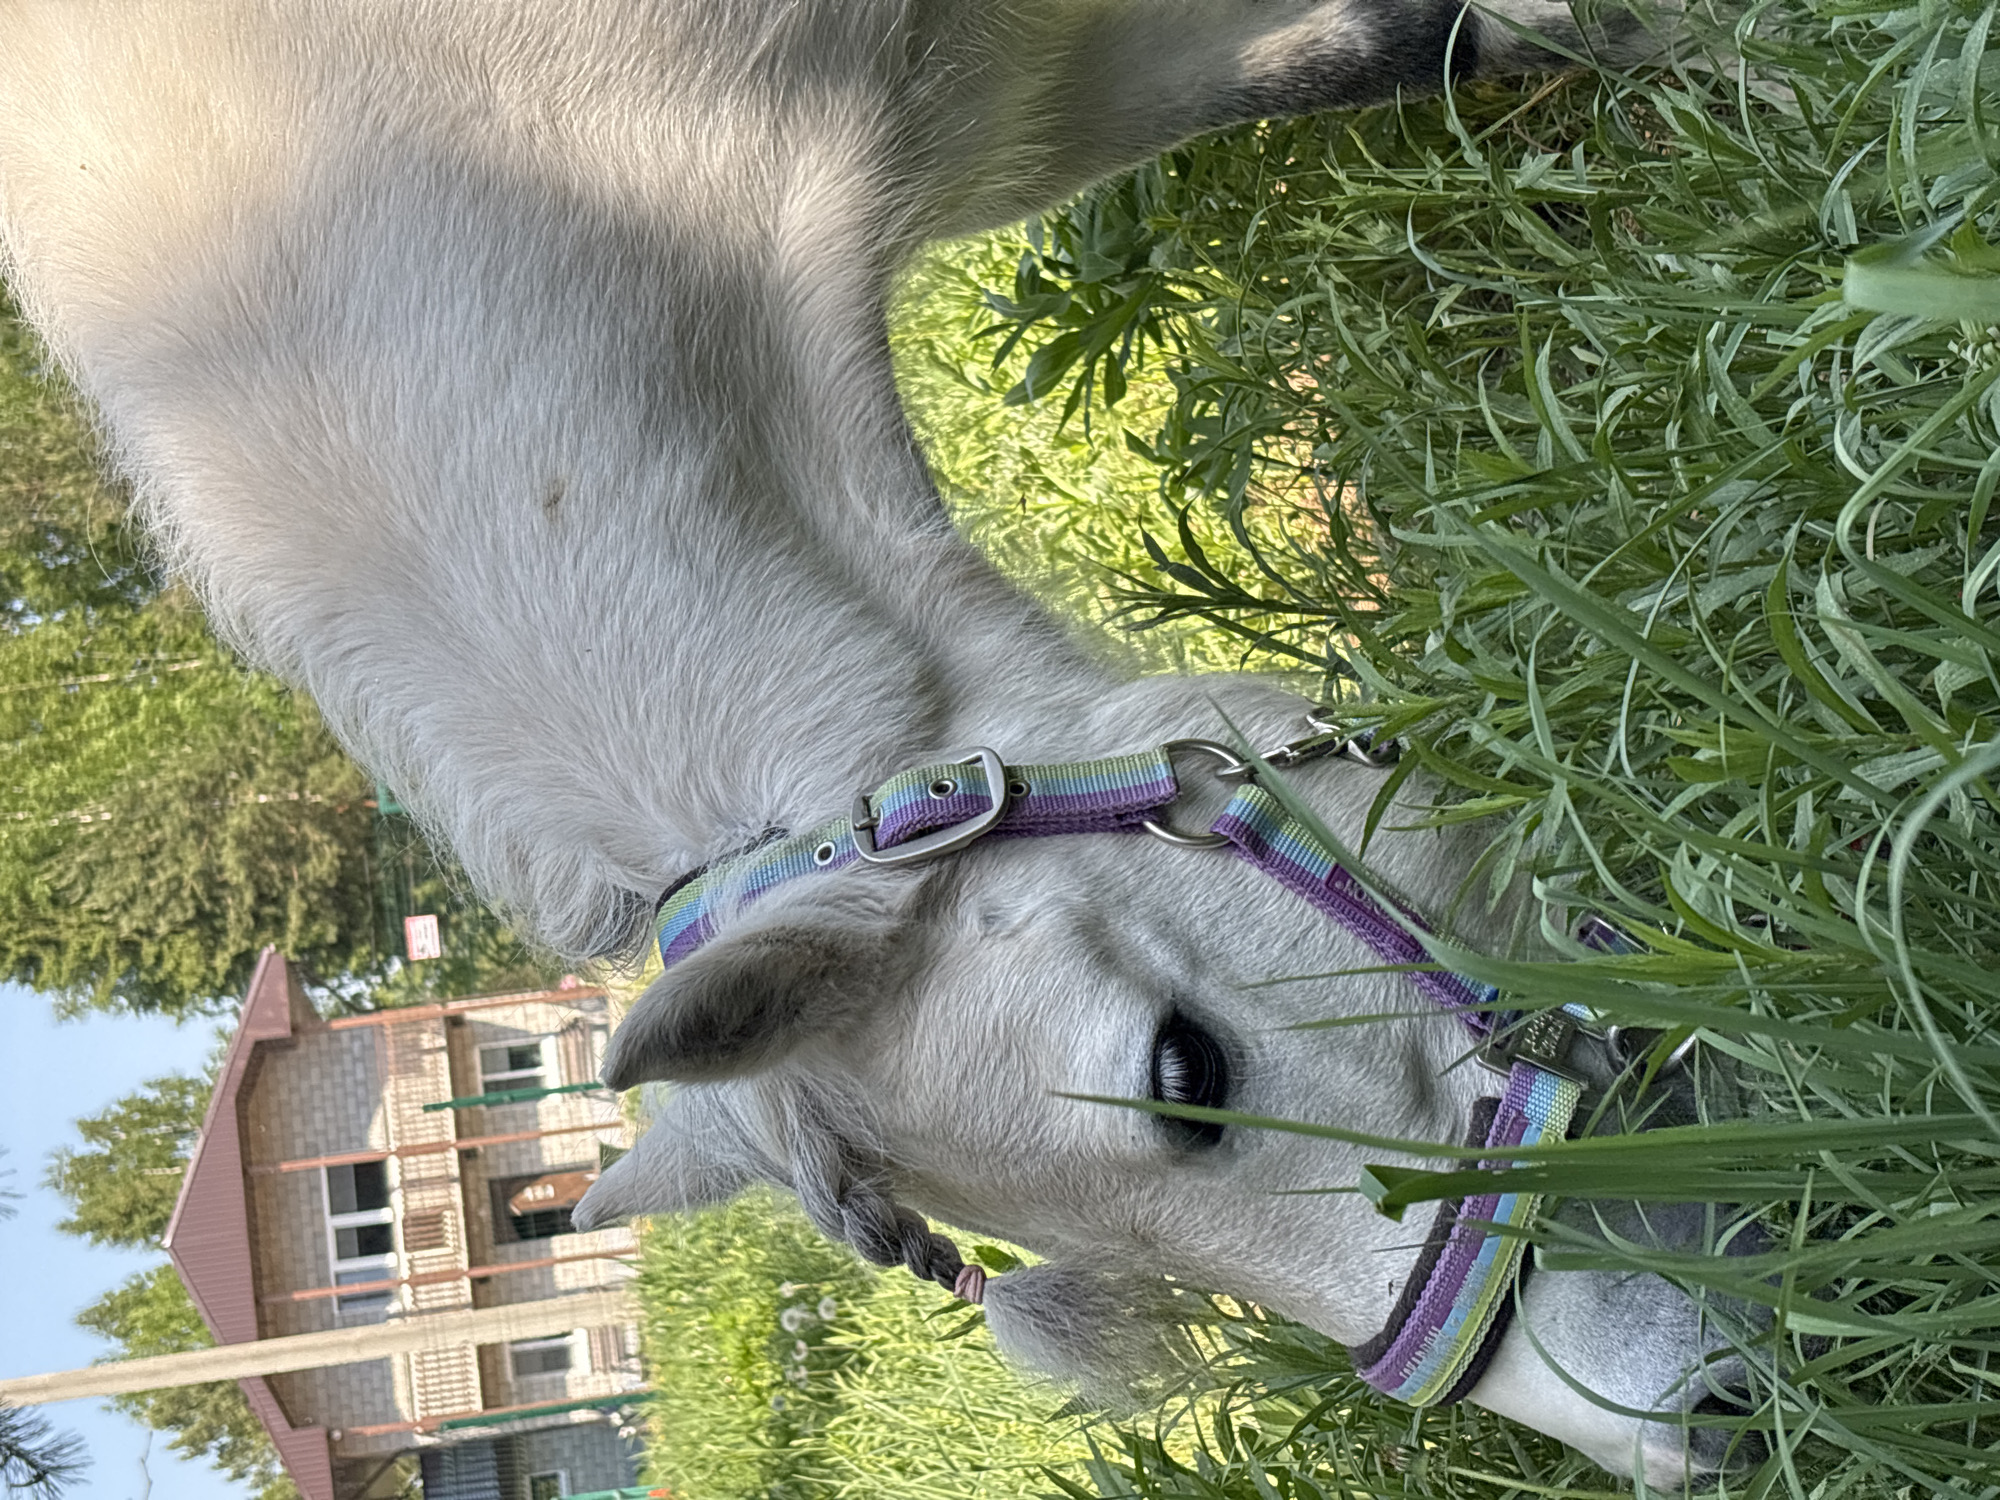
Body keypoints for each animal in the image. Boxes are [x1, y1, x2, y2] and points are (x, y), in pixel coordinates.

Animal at [0, 0, 1754, 1482]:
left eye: (1184, 1070)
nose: (1706, 1421)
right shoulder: (1046, 90)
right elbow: (1383, 45)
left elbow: (1392, 42)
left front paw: (1727, 80)